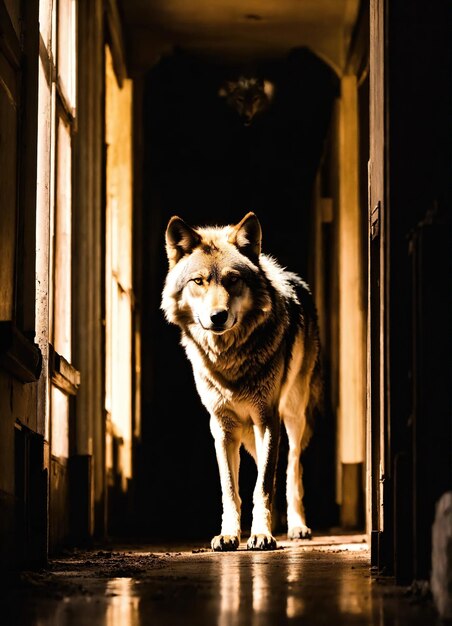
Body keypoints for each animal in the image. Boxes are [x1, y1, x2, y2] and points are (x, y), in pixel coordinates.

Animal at [162, 212, 322, 548]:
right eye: (199, 281)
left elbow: (262, 486)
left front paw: (261, 534)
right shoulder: (221, 427)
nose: (218, 317)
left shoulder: (267, 418)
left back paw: (297, 527)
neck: (230, 361)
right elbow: (231, 489)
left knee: (291, 470)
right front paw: (229, 534)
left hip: (293, 416)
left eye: (232, 279)